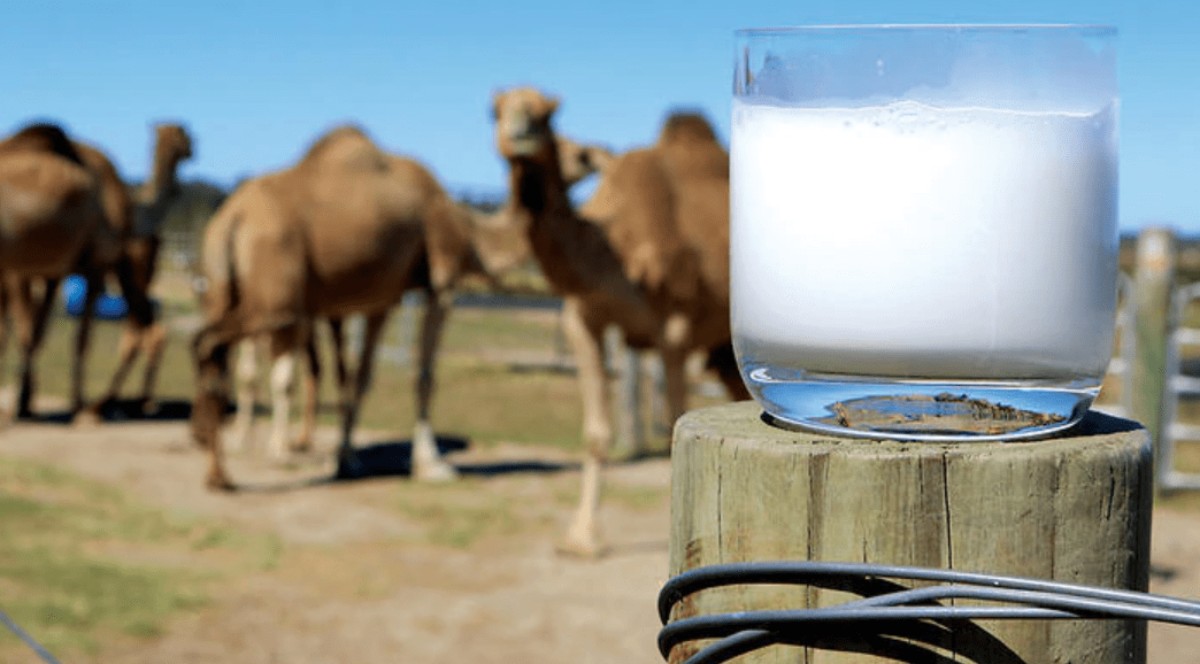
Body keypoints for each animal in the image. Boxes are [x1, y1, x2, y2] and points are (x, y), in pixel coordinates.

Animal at [228, 132, 614, 458]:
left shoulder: (380, 298)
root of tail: (237, 216)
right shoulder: (441, 284)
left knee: (264, 364)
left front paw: (347, 453)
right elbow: (421, 372)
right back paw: (277, 444)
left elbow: (359, 375)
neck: (470, 234)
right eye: (576, 152)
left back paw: (253, 439)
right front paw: (428, 458)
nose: (600, 153)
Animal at [489, 88, 748, 554]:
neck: (617, 252)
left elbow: (673, 422)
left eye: (547, 114)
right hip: (722, 349)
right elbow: (596, 432)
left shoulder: (675, 330)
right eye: (494, 111)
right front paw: (581, 538)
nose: (521, 134)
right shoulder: (583, 320)